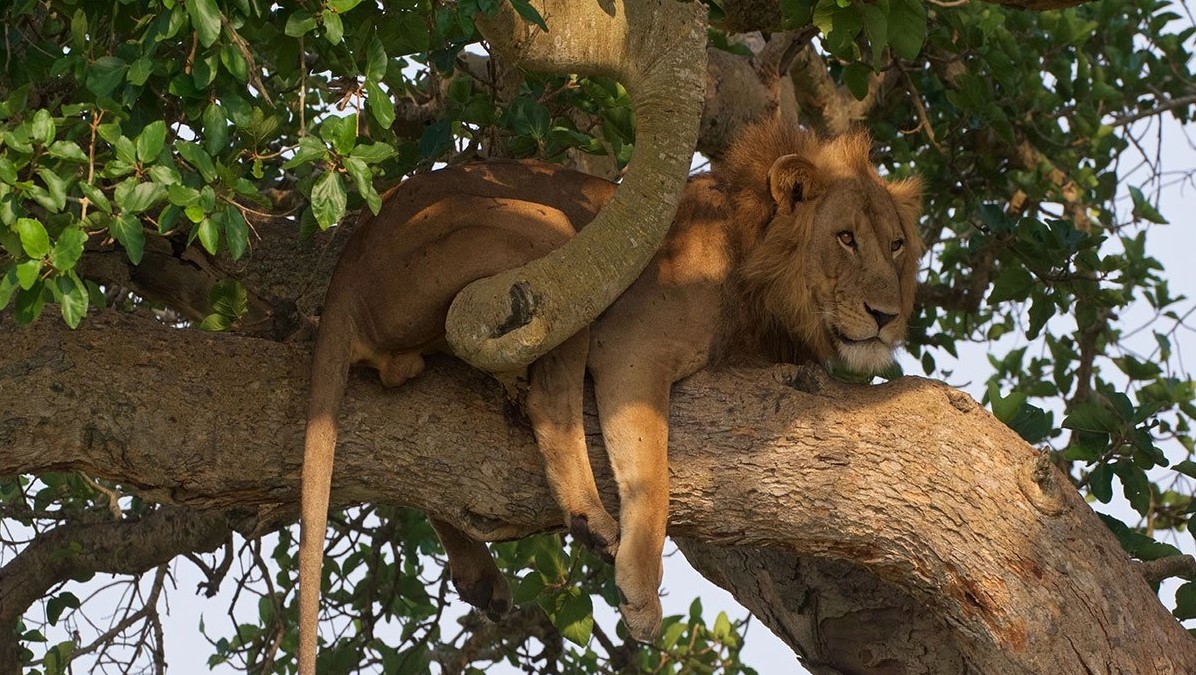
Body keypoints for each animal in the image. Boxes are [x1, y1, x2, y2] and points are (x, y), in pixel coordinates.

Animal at [297, 117, 922, 674]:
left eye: (896, 245)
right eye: (845, 238)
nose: (887, 317)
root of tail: (348, 264)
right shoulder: (631, 349)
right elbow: (653, 479)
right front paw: (641, 598)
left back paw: (483, 576)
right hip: (552, 239)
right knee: (547, 402)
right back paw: (589, 519)